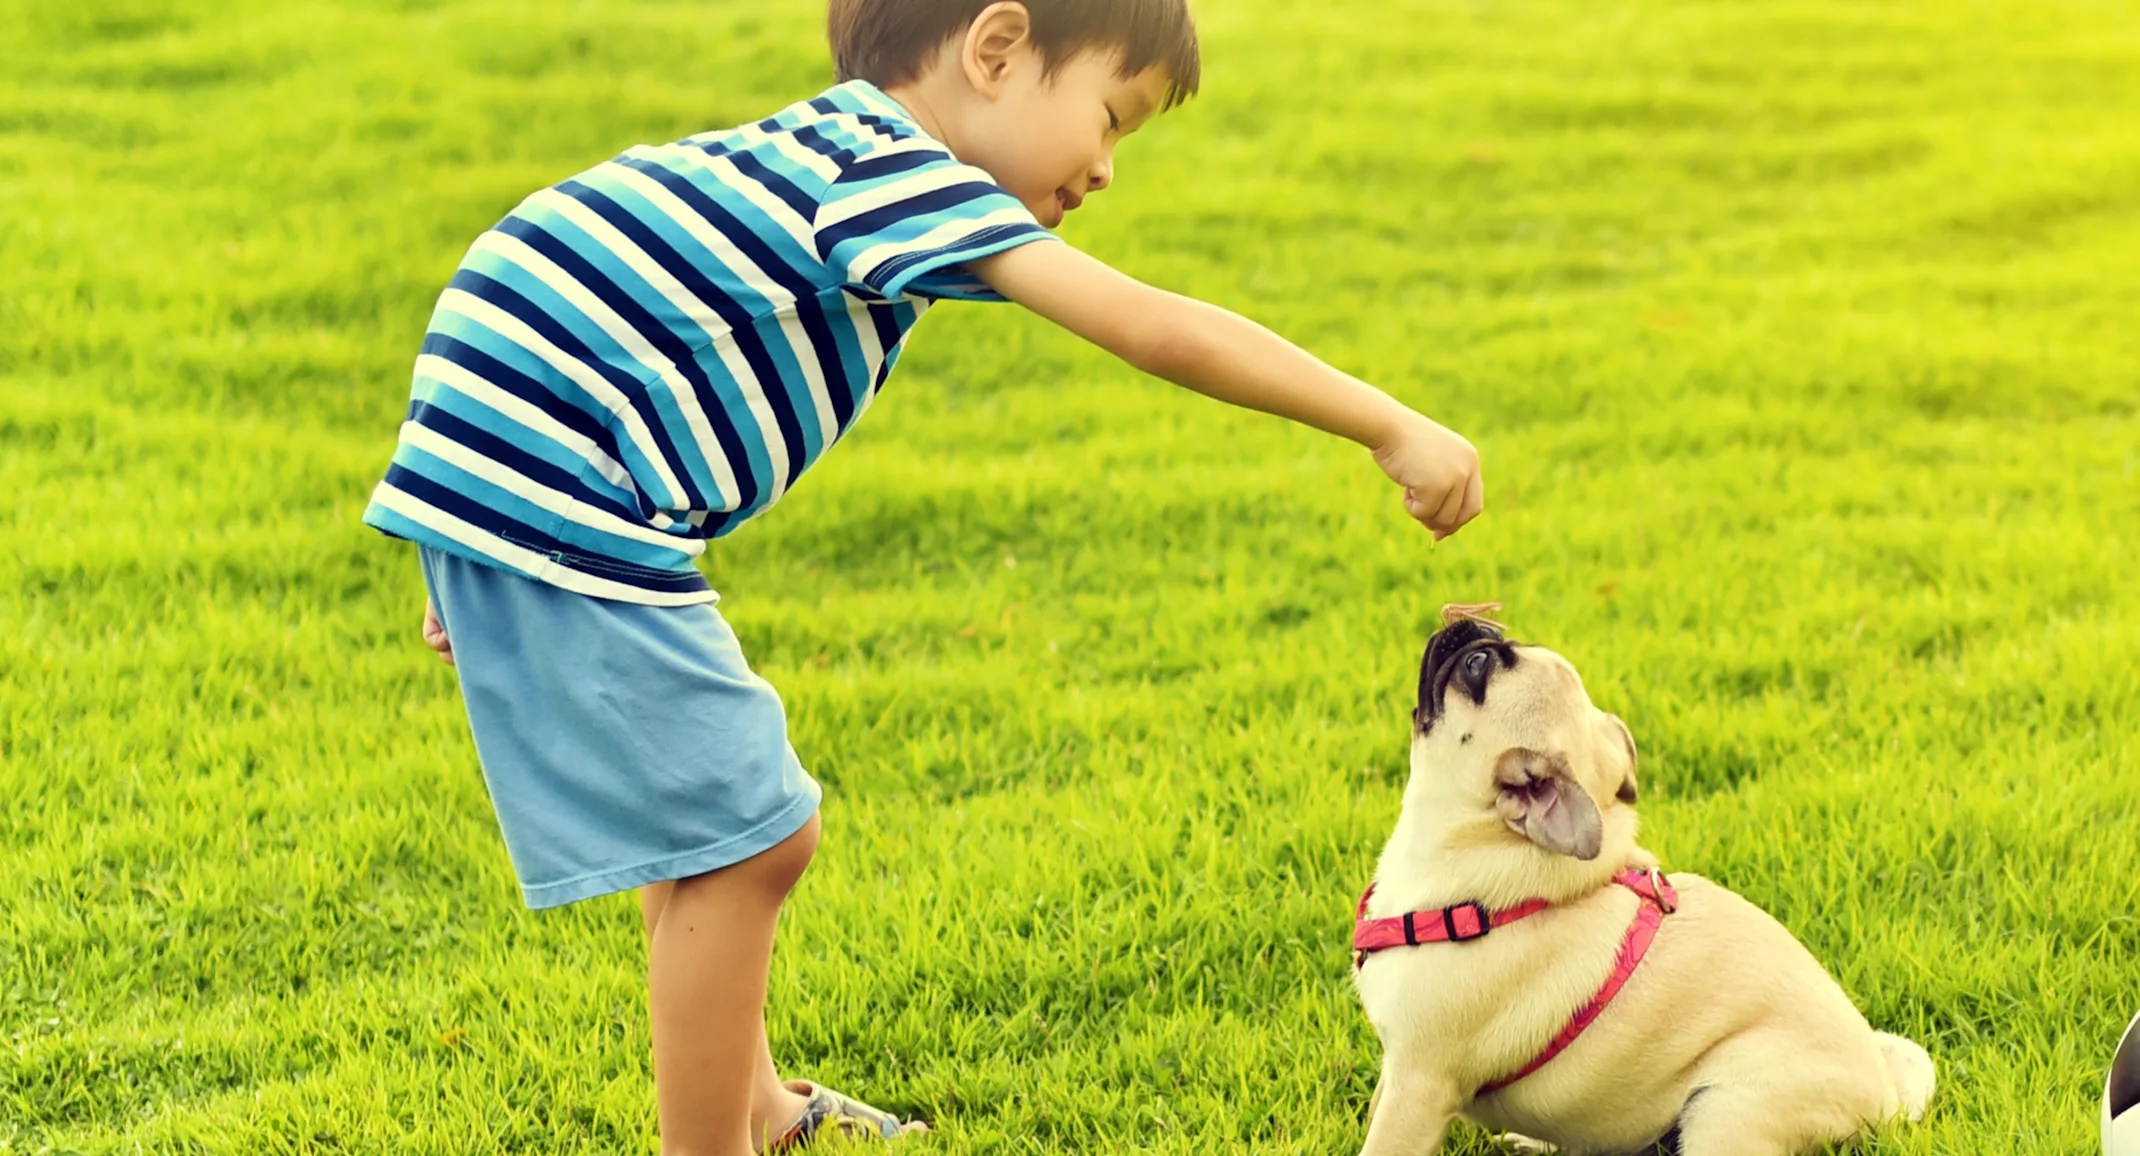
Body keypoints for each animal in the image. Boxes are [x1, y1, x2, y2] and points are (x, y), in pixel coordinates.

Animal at [1352, 616, 1943, 1156]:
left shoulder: (1420, 1082)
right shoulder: (1397, 1071)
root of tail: (1885, 1101)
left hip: (1723, 1110)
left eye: (1476, 668)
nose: (1475, 627)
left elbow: (1379, 1141)